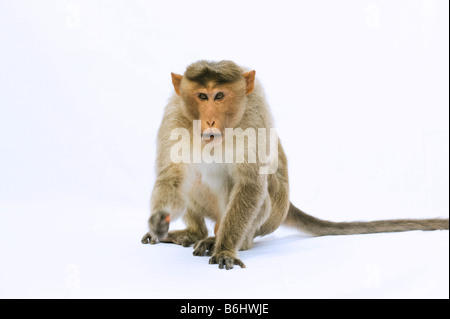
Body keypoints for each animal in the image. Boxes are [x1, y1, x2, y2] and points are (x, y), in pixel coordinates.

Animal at [140, 60, 446, 270]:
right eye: (202, 96)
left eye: (220, 96)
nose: (210, 120)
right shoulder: (174, 116)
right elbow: (171, 176)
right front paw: (159, 220)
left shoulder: (255, 116)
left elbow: (251, 185)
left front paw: (225, 248)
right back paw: (195, 233)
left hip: (268, 218)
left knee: (260, 195)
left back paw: (223, 240)